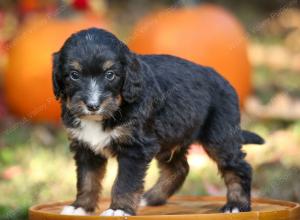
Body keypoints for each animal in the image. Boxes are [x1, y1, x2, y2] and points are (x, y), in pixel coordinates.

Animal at [52, 27, 264, 217]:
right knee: (179, 169)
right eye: (74, 75)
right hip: (171, 137)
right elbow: (87, 180)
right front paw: (80, 207)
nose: (92, 106)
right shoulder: (85, 147)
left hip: (219, 136)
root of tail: (224, 81)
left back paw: (236, 205)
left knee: (239, 167)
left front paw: (119, 209)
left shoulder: (135, 149)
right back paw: (150, 198)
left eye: (110, 74)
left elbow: (124, 183)